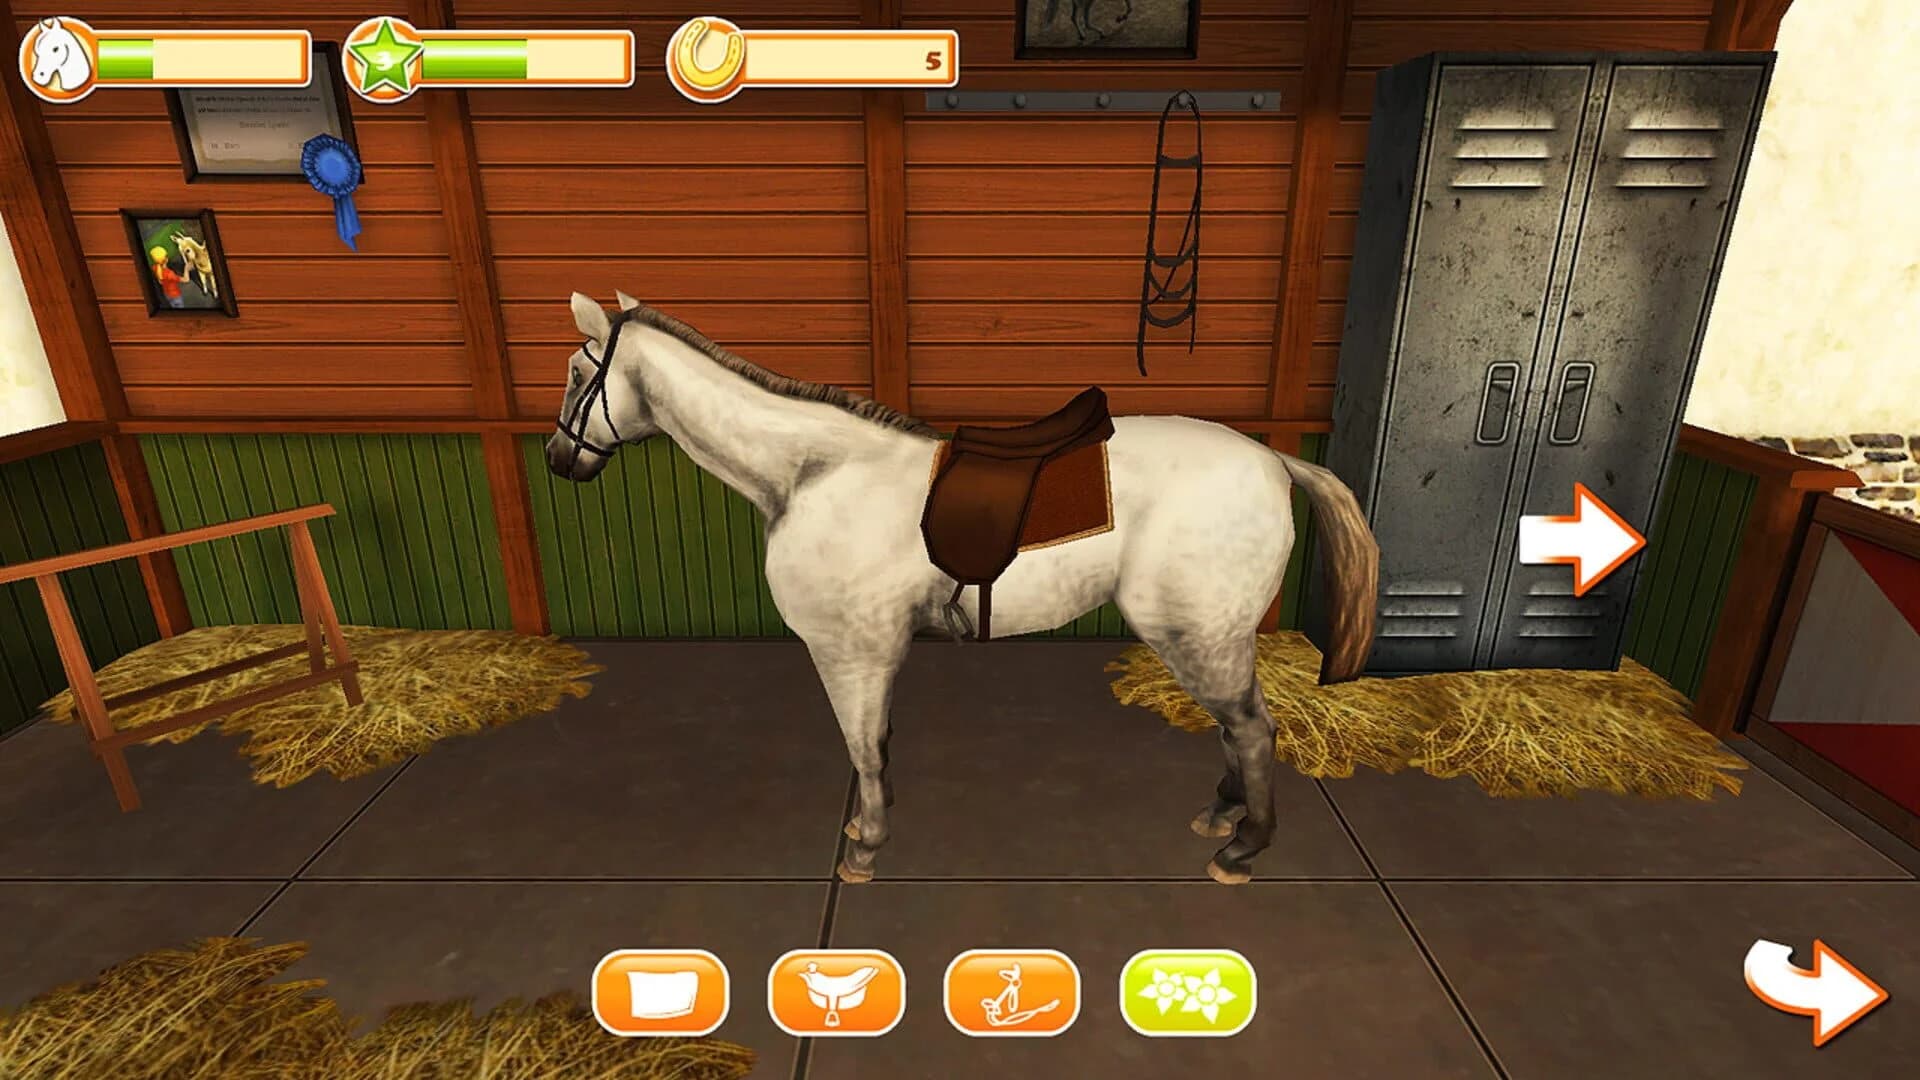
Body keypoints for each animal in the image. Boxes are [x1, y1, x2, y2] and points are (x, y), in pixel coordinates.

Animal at [545, 292, 1380, 886]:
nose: (558, 459)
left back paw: (1242, 849)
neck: (812, 474)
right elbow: (876, 742)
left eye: (582, 375)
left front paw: (866, 849)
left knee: (1253, 729)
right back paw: (1222, 814)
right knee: (1241, 726)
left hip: (1197, 634)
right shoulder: (872, 651)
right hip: (1213, 634)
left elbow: (863, 746)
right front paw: (866, 827)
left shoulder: (849, 651)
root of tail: (1273, 461)